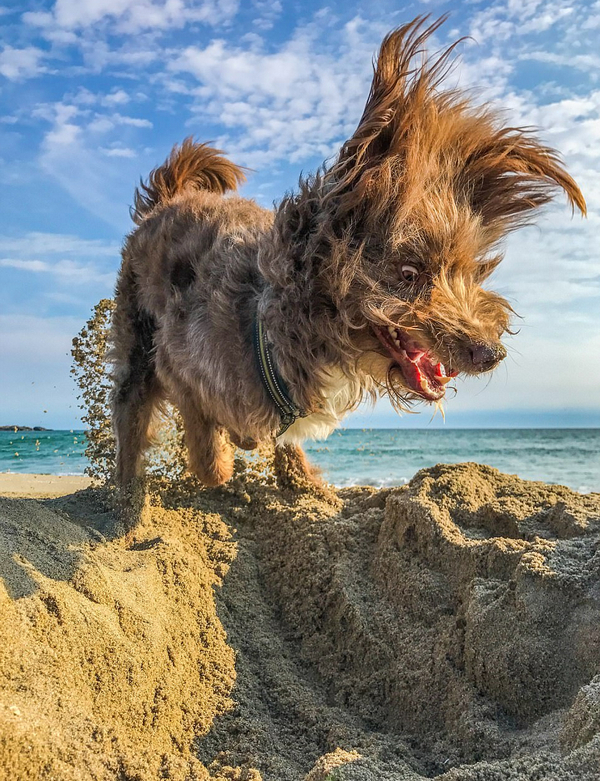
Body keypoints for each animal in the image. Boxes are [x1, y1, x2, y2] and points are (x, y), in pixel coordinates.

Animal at [110, 15, 584, 496]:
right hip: (137, 345)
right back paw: (126, 491)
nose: (491, 353)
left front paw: (303, 480)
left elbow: (281, 440)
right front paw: (221, 462)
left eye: (468, 273)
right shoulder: (178, 362)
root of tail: (170, 200)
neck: (274, 319)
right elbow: (207, 447)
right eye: (409, 271)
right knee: (131, 415)